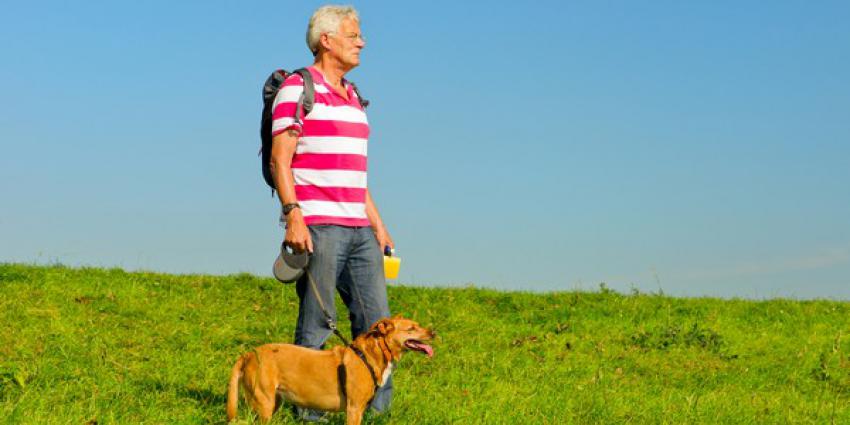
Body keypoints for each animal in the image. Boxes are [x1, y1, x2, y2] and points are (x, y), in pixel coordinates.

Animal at [227, 316, 430, 422]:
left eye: (418, 325)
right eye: (411, 328)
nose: (433, 332)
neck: (370, 354)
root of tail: (248, 354)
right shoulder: (354, 409)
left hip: (273, 402)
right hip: (264, 402)